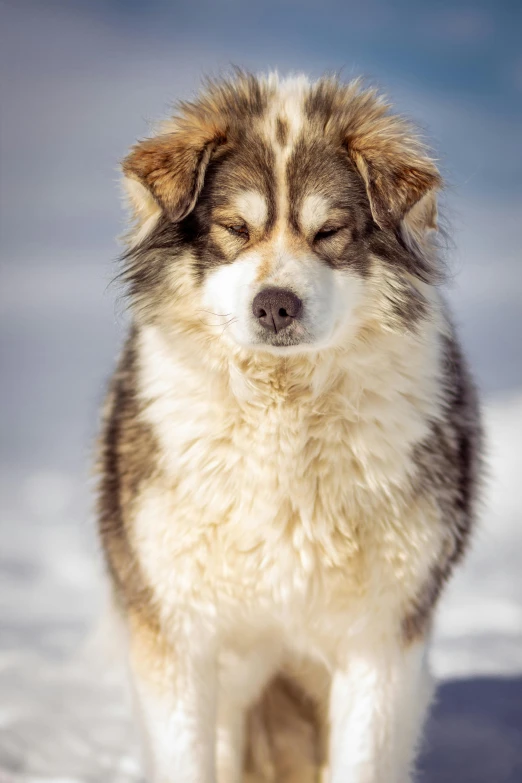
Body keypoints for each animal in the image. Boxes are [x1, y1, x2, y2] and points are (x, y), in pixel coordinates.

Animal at [96, 70, 480, 780]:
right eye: (234, 228)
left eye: (329, 232)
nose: (276, 305)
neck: (284, 408)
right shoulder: (176, 632)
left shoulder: (381, 640)